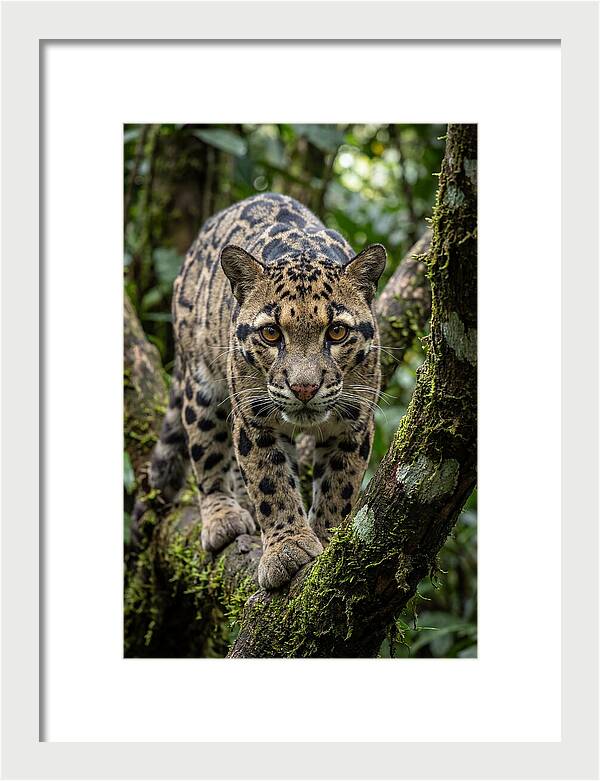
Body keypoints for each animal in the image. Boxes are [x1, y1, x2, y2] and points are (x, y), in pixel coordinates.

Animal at [149, 192, 386, 590]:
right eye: (271, 333)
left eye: (337, 332)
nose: (304, 387)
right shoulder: (254, 418)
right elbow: (270, 482)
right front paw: (287, 548)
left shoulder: (354, 421)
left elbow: (339, 485)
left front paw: (326, 538)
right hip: (201, 384)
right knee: (206, 451)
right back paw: (223, 516)